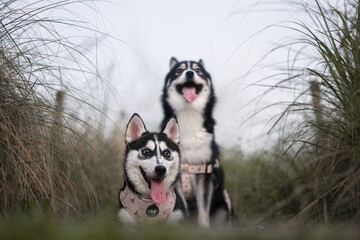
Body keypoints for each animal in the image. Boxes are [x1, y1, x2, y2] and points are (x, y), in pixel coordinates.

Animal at [161, 57, 233, 227]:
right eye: (179, 70)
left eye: (198, 70)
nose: (189, 73)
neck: (189, 117)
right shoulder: (176, 177)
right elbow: (181, 207)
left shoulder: (204, 173)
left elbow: (203, 211)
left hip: (223, 208)